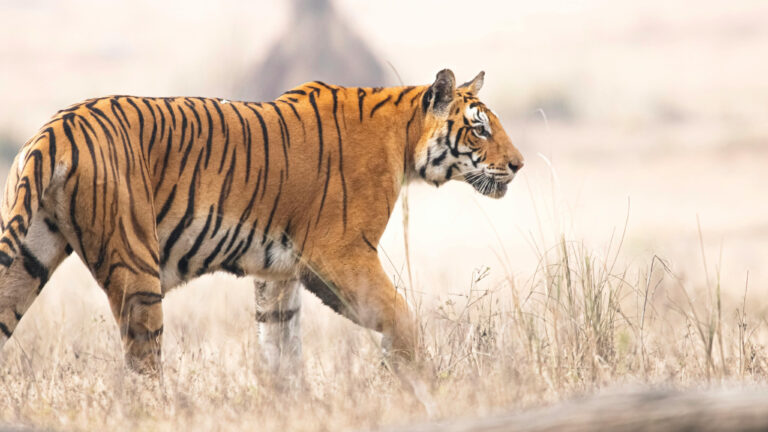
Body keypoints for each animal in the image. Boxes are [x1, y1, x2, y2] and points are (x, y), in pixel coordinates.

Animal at [0, 69, 523, 377]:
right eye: (480, 128)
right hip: (136, 269)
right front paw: (413, 380)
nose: (518, 165)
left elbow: (279, 346)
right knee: (142, 367)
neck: (404, 140)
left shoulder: (280, 271)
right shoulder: (342, 253)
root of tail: (54, 129)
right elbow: (400, 316)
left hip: (28, 255)